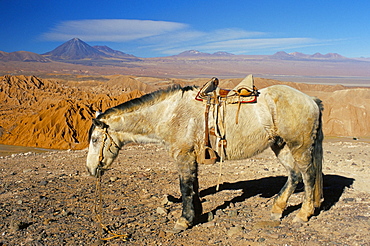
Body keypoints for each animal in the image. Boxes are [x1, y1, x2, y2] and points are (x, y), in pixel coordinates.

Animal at [86, 80, 324, 232]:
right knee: (294, 175)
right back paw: (277, 210)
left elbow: (185, 187)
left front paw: (183, 221)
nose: (91, 169)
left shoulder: (183, 156)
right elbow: (194, 185)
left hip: (300, 146)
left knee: (308, 175)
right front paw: (196, 214)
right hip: (281, 145)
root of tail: (311, 100)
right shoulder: (192, 157)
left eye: (95, 140)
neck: (169, 114)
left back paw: (303, 215)